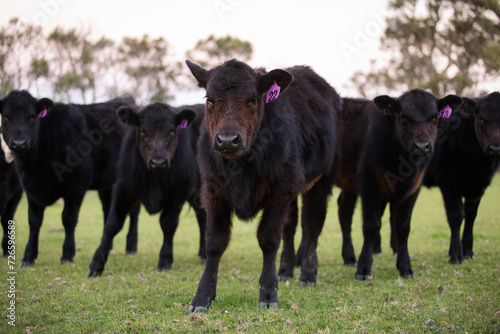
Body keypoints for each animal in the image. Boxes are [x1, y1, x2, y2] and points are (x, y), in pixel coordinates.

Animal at [0, 90, 140, 266]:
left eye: (32, 116)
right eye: (6, 116)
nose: (19, 143)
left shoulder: (76, 187)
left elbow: (68, 219)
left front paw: (67, 254)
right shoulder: (30, 187)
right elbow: (34, 221)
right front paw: (28, 257)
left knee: (134, 211)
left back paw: (131, 246)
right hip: (107, 183)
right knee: (107, 208)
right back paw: (109, 248)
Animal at [87, 102, 206, 276]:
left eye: (172, 130)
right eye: (143, 130)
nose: (158, 162)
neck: (153, 181)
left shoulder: (177, 192)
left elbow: (168, 224)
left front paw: (165, 260)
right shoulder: (123, 186)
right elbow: (112, 225)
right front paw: (96, 264)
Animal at [186, 58, 342, 312]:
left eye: (253, 99)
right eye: (209, 99)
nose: (227, 140)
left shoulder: (280, 188)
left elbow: (268, 239)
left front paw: (268, 293)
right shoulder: (212, 190)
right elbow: (215, 243)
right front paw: (203, 296)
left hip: (321, 180)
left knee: (312, 224)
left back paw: (308, 274)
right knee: (291, 226)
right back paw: (286, 270)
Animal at [334, 89, 462, 280]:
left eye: (434, 118)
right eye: (403, 118)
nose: (421, 146)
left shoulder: (414, 189)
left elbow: (402, 227)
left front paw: (405, 267)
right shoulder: (368, 183)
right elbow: (372, 225)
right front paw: (363, 268)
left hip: (348, 184)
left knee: (345, 212)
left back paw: (349, 256)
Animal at [424, 91, 500, 264]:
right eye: (482, 119)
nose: (495, 148)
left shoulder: (479, 185)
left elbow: (471, 215)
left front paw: (468, 251)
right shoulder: (447, 181)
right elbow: (456, 215)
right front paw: (455, 254)